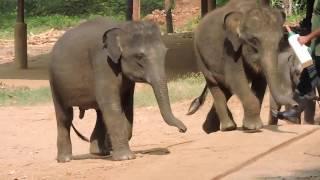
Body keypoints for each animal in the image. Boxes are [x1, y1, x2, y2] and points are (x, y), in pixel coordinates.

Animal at [48, 17, 186, 162]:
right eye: (139, 56)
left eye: (165, 52)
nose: (183, 129)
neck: (122, 26)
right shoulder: (103, 62)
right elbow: (112, 105)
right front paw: (126, 157)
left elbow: (127, 105)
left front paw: (115, 148)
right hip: (55, 82)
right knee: (65, 117)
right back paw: (65, 159)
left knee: (99, 113)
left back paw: (100, 152)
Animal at [194, 0, 298, 132]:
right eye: (253, 40)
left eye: (280, 40)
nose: (295, 105)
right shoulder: (229, 48)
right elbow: (236, 79)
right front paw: (253, 127)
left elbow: (260, 82)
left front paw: (248, 126)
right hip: (200, 57)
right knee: (215, 86)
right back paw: (227, 127)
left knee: (226, 90)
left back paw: (211, 128)